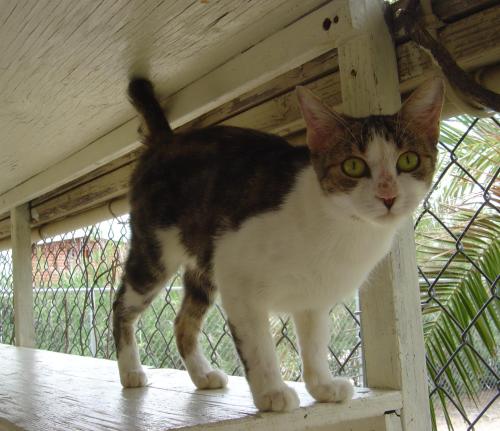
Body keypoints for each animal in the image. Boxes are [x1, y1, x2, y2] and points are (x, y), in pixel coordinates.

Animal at [113, 76, 444, 412]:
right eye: (353, 166)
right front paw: (272, 392)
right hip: (155, 253)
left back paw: (202, 375)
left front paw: (322, 386)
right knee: (122, 306)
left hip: (203, 266)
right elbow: (259, 347)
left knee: (183, 322)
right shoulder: (238, 278)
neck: (343, 228)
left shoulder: (313, 298)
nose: (388, 195)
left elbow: (314, 344)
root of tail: (166, 139)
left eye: (408, 160)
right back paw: (130, 372)